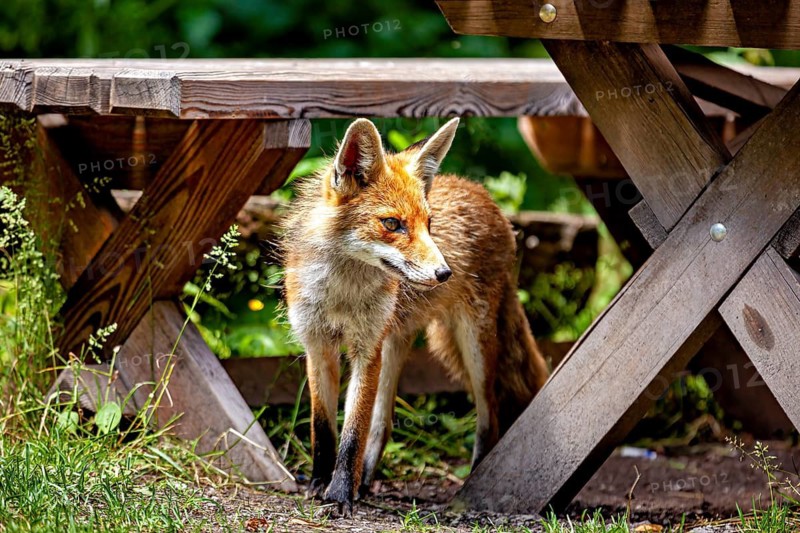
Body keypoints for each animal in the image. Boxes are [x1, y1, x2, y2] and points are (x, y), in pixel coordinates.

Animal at [282, 117, 549, 513]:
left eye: (428, 224)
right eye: (392, 223)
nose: (444, 273)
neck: (341, 295)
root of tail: (481, 191)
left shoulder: (367, 349)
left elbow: (352, 432)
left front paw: (340, 494)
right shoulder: (318, 347)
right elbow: (324, 428)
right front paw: (319, 483)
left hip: (473, 347)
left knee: (490, 416)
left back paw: (467, 487)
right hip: (397, 341)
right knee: (384, 423)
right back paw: (366, 479)